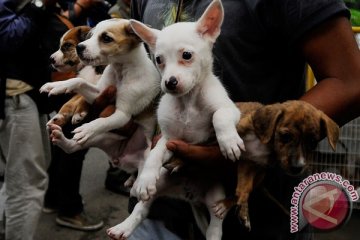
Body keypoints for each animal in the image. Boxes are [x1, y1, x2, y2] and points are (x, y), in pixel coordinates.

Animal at [107, 0, 246, 239]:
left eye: (187, 55)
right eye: (158, 60)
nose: (169, 83)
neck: (188, 101)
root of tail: (189, 196)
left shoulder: (230, 109)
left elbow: (219, 116)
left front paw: (228, 142)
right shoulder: (169, 139)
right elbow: (154, 154)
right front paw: (144, 179)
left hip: (216, 195)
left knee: (216, 223)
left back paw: (213, 233)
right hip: (162, 182)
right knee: (141, 209)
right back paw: (124, 226)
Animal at [217, 100, 340, 231]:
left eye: (312, 142)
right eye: (286, 136)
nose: (297, 167)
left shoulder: (249, 162)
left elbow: (245, 187)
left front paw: (243, 210)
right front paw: (228, 142)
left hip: (260, 175)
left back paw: (225, 205)